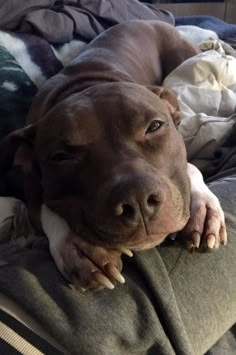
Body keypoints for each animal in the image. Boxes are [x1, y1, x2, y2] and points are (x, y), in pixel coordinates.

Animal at [0, 21, 226, 290]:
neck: (85, 85)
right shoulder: (30, 190)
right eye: (60, 156)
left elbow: (190, 167)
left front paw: (203, 207)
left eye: (155, 126)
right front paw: (75, 244)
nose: (137, 199)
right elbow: (44, 207)